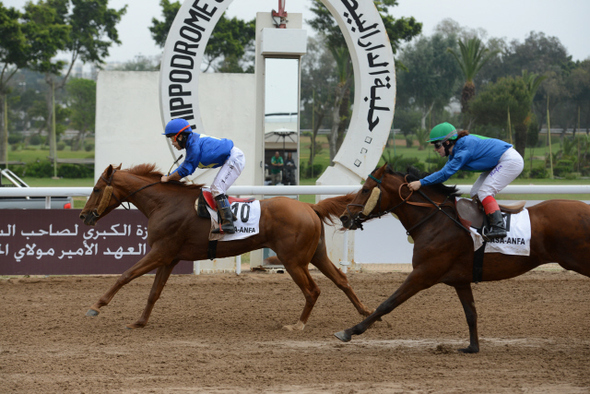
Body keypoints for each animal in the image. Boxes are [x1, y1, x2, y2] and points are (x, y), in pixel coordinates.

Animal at [80, 163, 372, 330]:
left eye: (96, 189)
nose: (83, 216)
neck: (164, 203)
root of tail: (310, 207)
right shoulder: (169, 257)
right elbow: (154, 292)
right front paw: (140, 322)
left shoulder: (161, 251)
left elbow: (125, 275)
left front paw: (96, 305)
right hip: (316, 255)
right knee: (342, 280)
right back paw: (366, 313)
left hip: (293, 260)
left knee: (313, 290)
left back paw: (297, 325)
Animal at [338, 164, 590, 354]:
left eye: (365, 189)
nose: (344, 217)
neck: (436, 219)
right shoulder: (460, 280)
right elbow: (471, 313)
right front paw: (472, 347)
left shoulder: (423, 273)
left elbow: (387, 303)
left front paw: (349, 331)